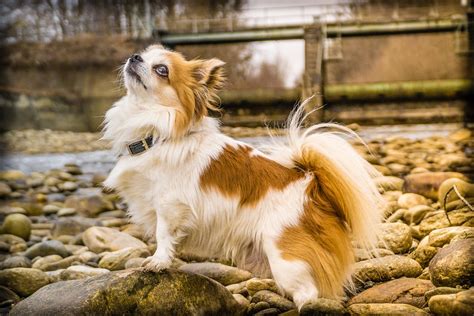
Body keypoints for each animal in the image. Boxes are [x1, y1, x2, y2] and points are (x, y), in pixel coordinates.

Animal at [102, 44, 384, 308]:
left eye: (162, 70)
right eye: (143, 54)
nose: (135, 56)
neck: (155, 135)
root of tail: (312, 186)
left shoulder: (170, 205)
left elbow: (163, 234)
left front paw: (158, 261)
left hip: (286, 260)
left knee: (309, 293)